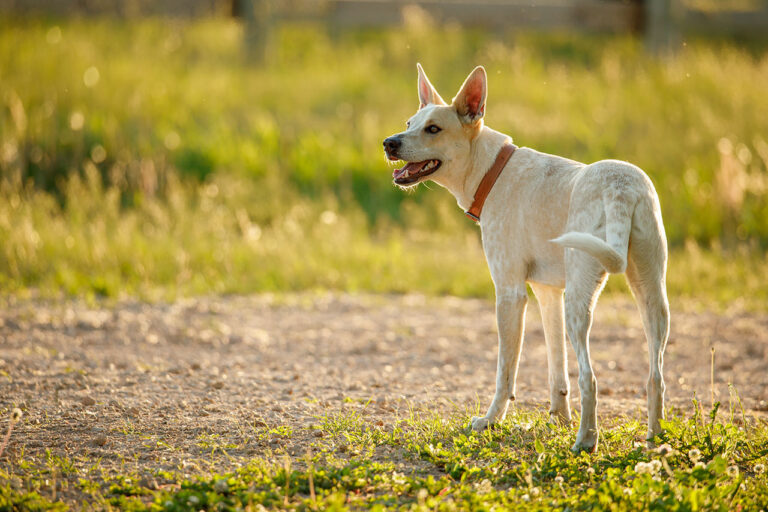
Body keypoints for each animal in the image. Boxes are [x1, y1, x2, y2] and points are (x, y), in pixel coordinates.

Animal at [380, 64, 668, 452]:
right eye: (409, 122)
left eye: (434, 129)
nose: (389, 143)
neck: (491, 171)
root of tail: (620, 186)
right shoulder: (548, 294)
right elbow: (557, 369)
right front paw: (559, 420)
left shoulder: (510, 294)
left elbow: (505, 373)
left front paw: (490, 420)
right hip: (651, 298)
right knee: (655, 375)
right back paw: (654, 440)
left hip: (581, 302)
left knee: (590, 378)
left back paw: (586, 441)